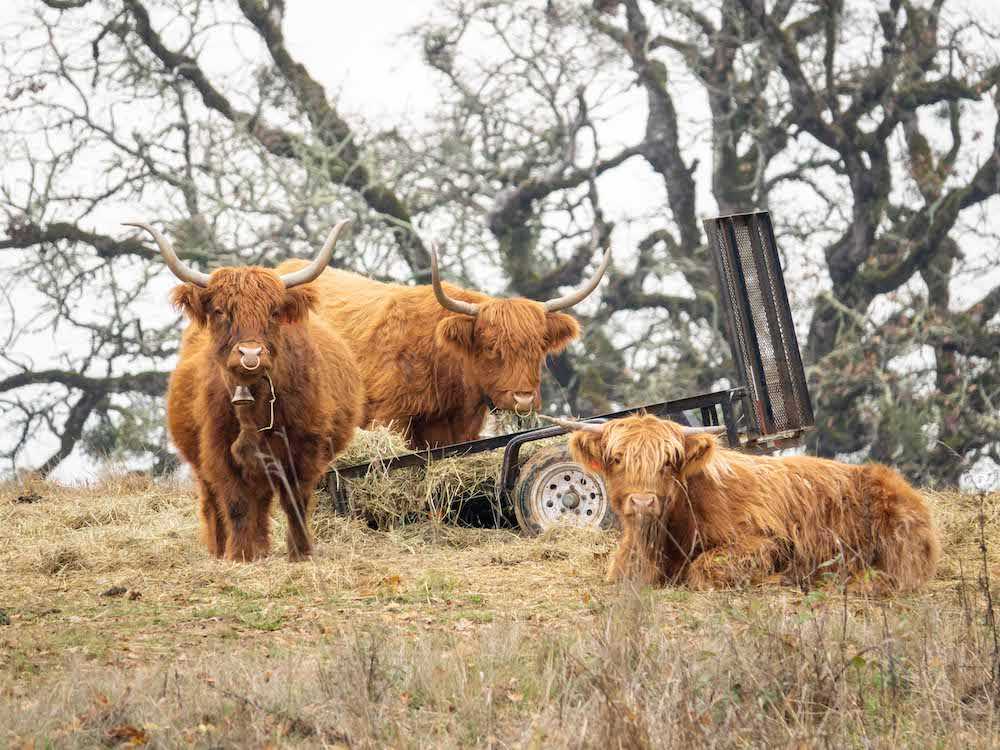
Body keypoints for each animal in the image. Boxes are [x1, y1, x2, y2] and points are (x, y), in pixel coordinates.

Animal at [127, 220, 366, 560]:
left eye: (274, 312)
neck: (255, 403)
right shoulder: (217, 451)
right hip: (201, 465)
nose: (250, 354)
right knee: (214, 503)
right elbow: (237, 505)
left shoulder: (304, 449)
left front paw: (301, 553)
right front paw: (240, 555)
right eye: (220, 311)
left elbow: (296, 502)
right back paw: (222, 548)